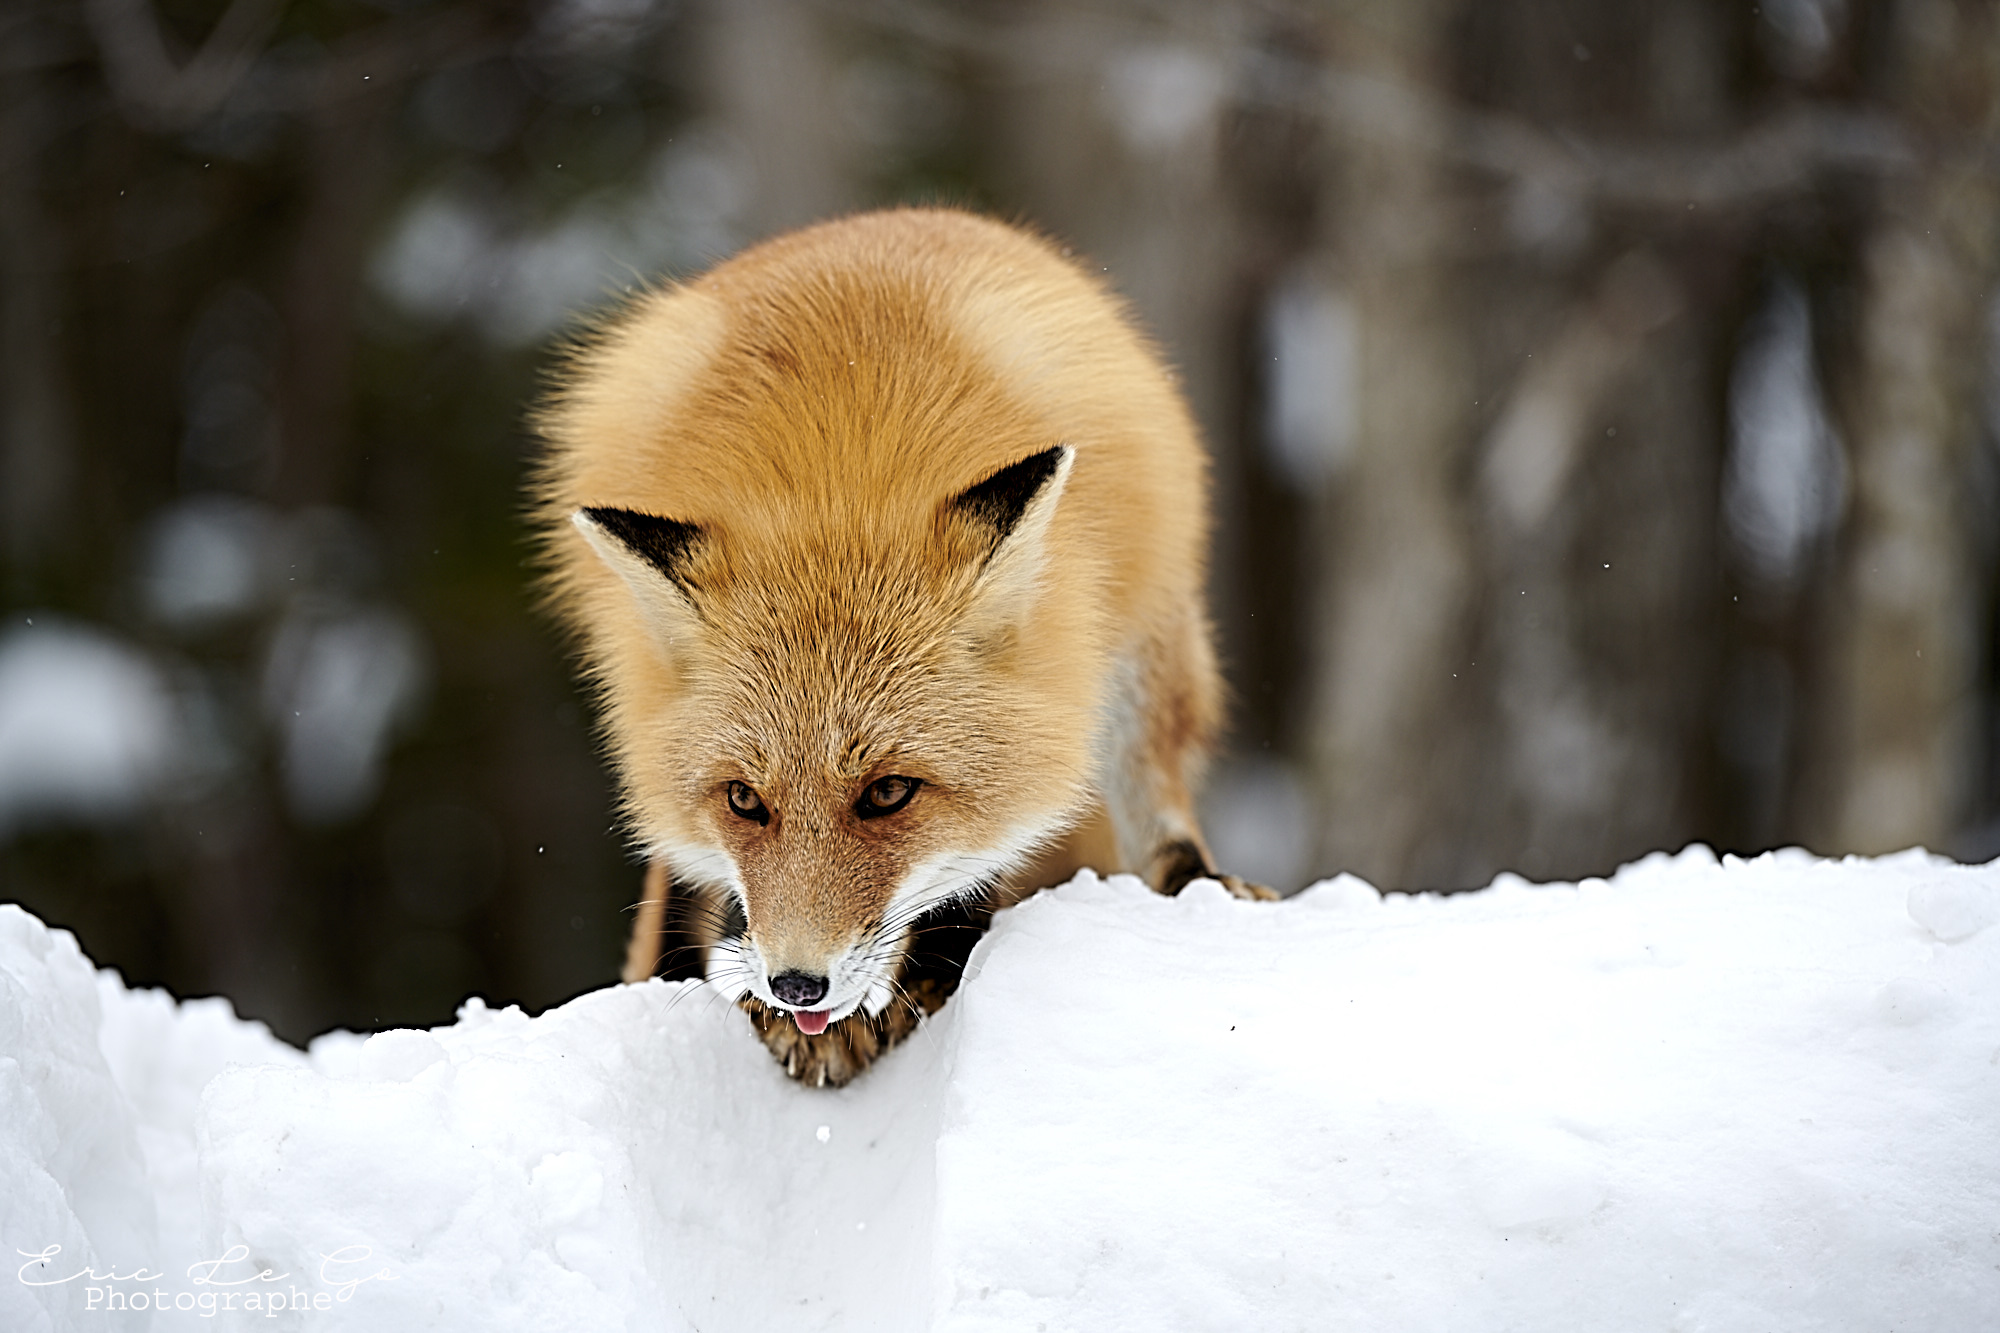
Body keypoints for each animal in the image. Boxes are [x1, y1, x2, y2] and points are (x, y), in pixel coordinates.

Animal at [534, 207, 1273, 1087]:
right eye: (744, 799)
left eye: (889, 792)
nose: (796, 985)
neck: (833, 475)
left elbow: (981, 869)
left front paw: (905, 990)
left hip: (1145, 649)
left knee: (1153, 808)